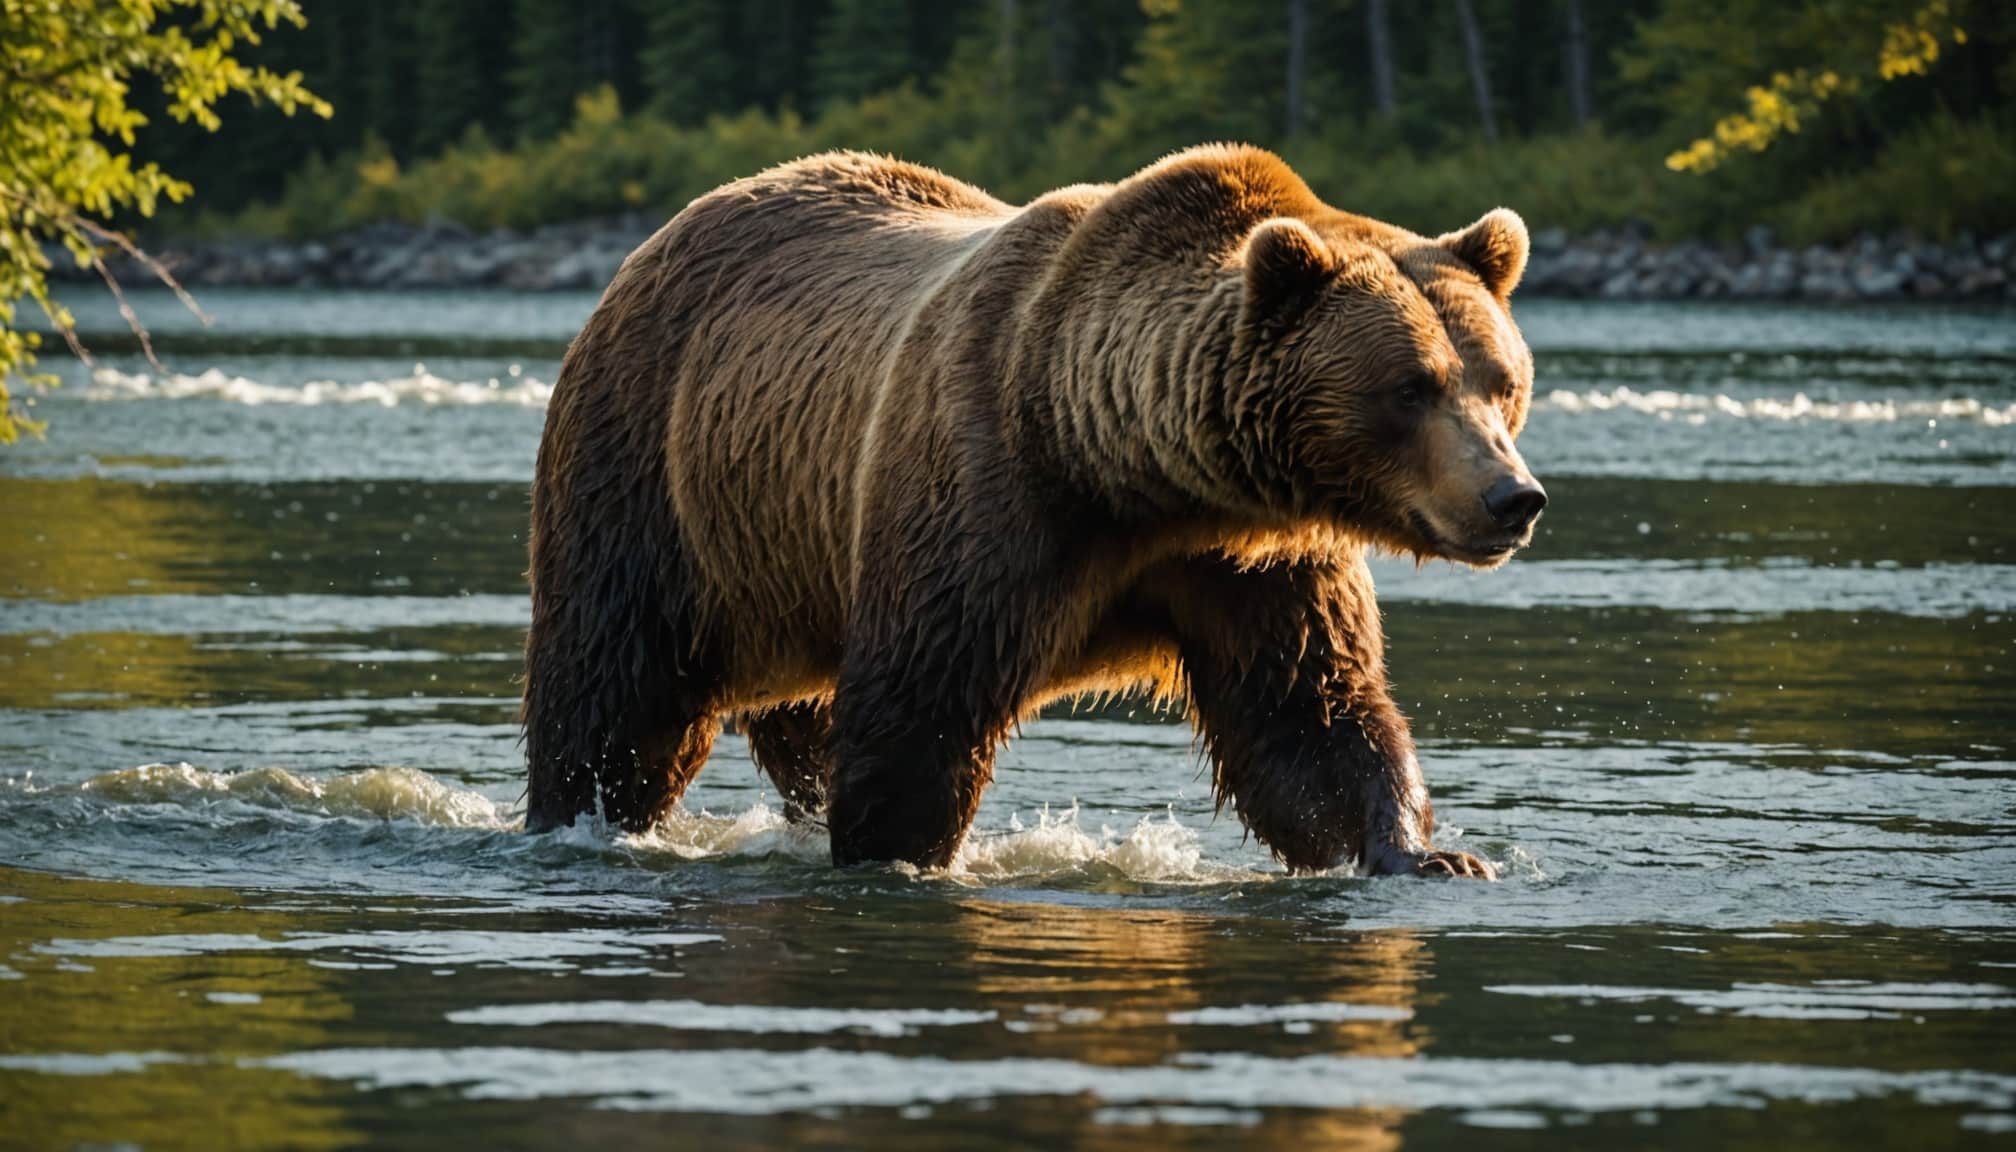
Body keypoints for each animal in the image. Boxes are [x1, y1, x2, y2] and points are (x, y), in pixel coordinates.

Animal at [524, 146, 1540, 883]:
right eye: (1410, 387)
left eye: (1501, 380)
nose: (1513, 497)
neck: (1129, 469)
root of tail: (666, 232)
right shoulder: (992, 496)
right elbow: (922, 703)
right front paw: (900, 852)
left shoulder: (1250, 558)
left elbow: (1308, 711)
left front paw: (1429, 853)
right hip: (648, 474)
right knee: (613, 688)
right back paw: (580, 814)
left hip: (794, 550)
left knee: (804, 707)